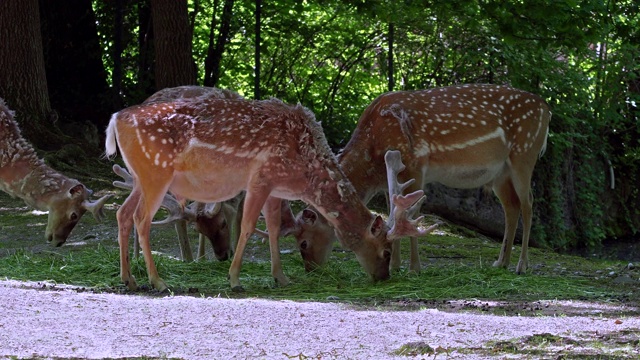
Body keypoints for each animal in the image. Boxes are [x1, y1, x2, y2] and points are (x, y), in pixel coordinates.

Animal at [105, 96, 428, 292]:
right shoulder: (261, 178)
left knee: (122, 214)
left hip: (139, 177)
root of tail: (115, 119)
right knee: (140, 218)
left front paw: (281, 277)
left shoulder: (275, 187)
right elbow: (248, 226)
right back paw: (157, 281)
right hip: (156, 173)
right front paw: (235, 279)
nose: (383, 277)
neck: (304, 170)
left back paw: (128, 279)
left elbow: (272, 228)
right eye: (386, 250)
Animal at [284, 85, 552, 276]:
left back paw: (521, 265)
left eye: (303, 243)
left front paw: (414, 267)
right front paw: (396, 264)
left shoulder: (414, 163)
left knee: (528, 204)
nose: (311, 270)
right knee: (511, 208)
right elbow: (393, 212)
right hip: (499, 174)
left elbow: (411, 214)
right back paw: (500, 262)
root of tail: (546, 109)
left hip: (524, 154)